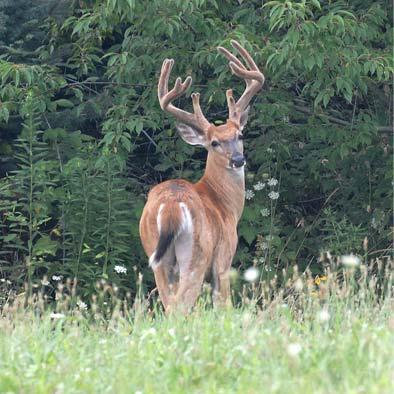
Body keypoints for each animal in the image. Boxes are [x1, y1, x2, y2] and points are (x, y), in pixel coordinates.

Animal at [139, 38, 264, 312]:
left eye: (240, 135)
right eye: (214, 143)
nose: (238, 160)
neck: (225, 205)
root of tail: (171, 207)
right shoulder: (224, 256)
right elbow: (223, 304)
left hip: (156, 255)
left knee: (169, 304)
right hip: (196, 253)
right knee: (180, 306)